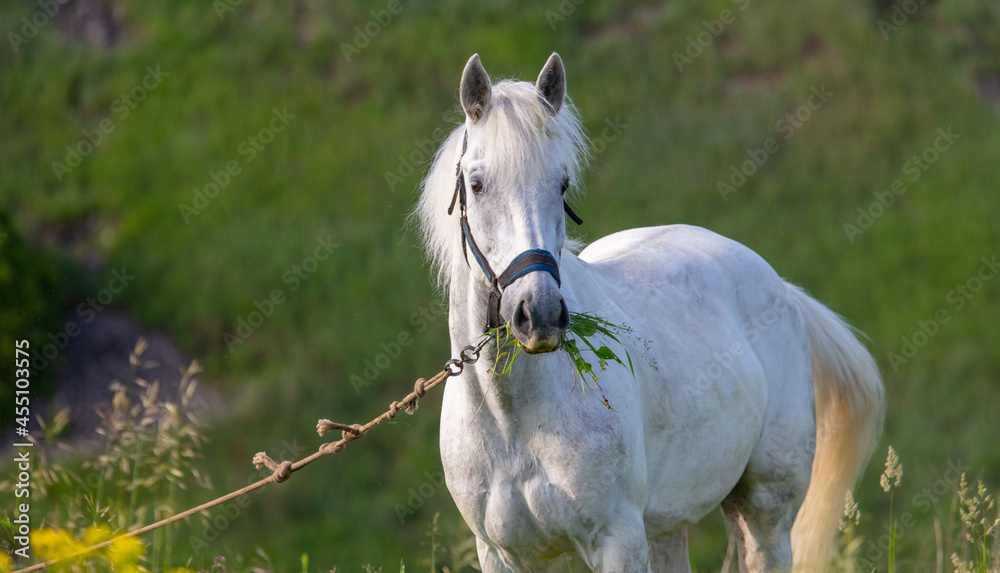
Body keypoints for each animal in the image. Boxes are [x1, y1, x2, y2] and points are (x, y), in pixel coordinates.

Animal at [414, 51, 884, 568]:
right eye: (477, 184)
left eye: (562, 185)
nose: (539, 315)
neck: (512, 422)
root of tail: (781, 288)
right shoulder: (505, 555)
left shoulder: (617, 540)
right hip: (667, 527)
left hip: (765, 515)